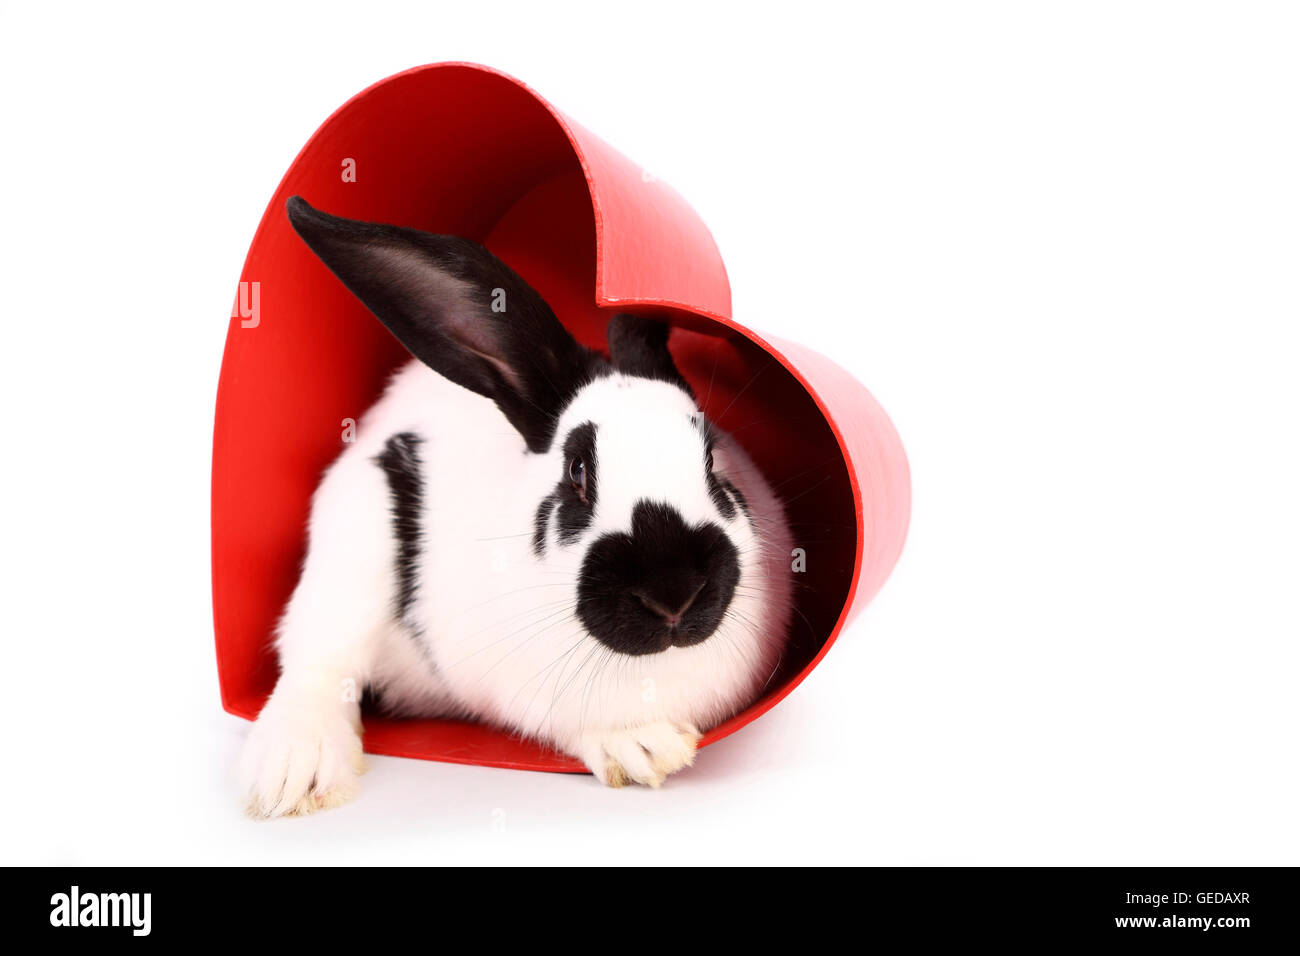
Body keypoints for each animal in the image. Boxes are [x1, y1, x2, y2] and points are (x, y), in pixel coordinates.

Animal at [238, 196, 794, 817]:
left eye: (711, 457)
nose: (672, 593)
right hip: (350, 553)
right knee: (314, 662)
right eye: (577, 472)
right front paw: (645, 748)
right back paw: (294, 776)